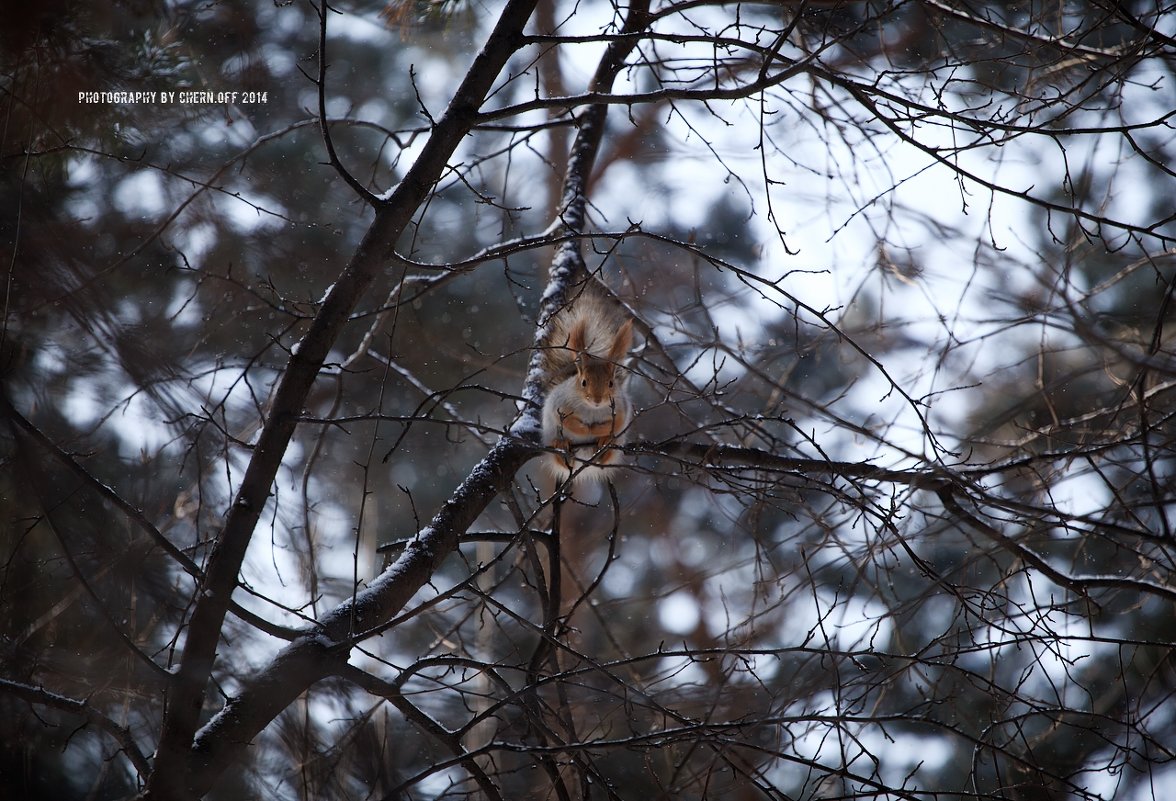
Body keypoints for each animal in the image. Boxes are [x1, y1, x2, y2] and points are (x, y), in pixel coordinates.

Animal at [538, 290, 635, 484]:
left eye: (611, 383)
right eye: (583, 382)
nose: (597, 400)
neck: (592, 410)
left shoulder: (621, 408)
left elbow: (618, 422)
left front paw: (600, 432)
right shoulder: (559, 404)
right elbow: (566, 420)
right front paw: (585, 429)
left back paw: (605, 448)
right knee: (560, 460)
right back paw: (562, 448)